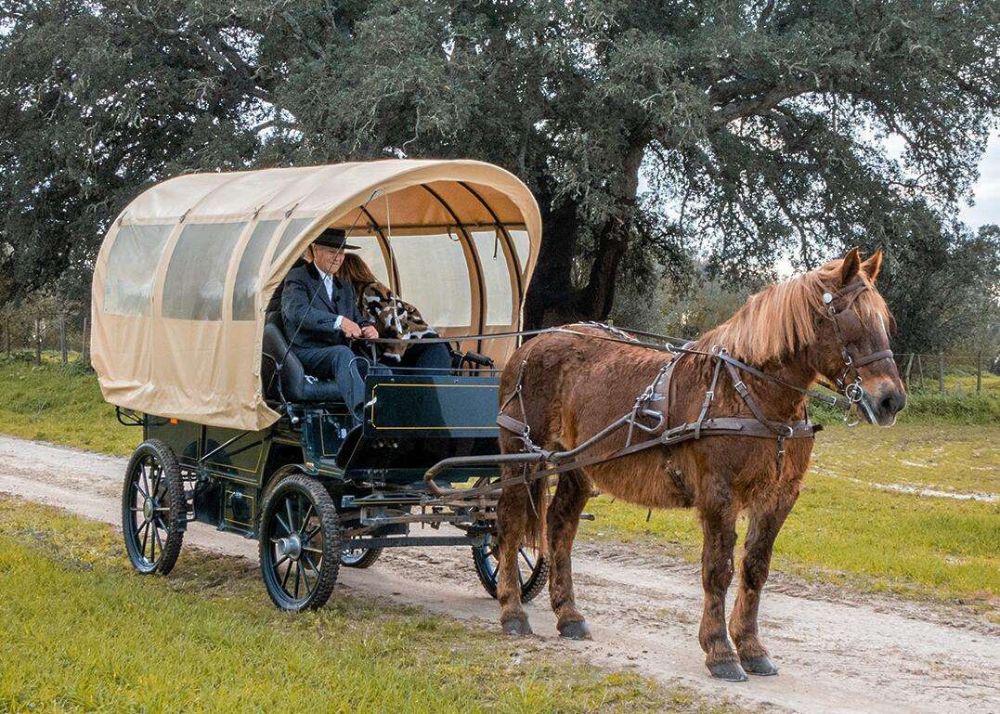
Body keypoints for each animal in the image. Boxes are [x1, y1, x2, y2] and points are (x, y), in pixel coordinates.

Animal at [492, 248, 908, 680]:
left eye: (884, 320)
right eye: (846, 315)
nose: (890, 400)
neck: (746, 392)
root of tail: (534, 344)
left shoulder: (778, 498)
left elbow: (755, 569)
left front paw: (751, 647)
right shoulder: (717, 494)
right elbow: (718, 570)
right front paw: (720, 651)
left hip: (574, 463)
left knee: (560, 526)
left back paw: (569, 615)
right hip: (520, 455)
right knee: (509, 524)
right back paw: (512, 611)